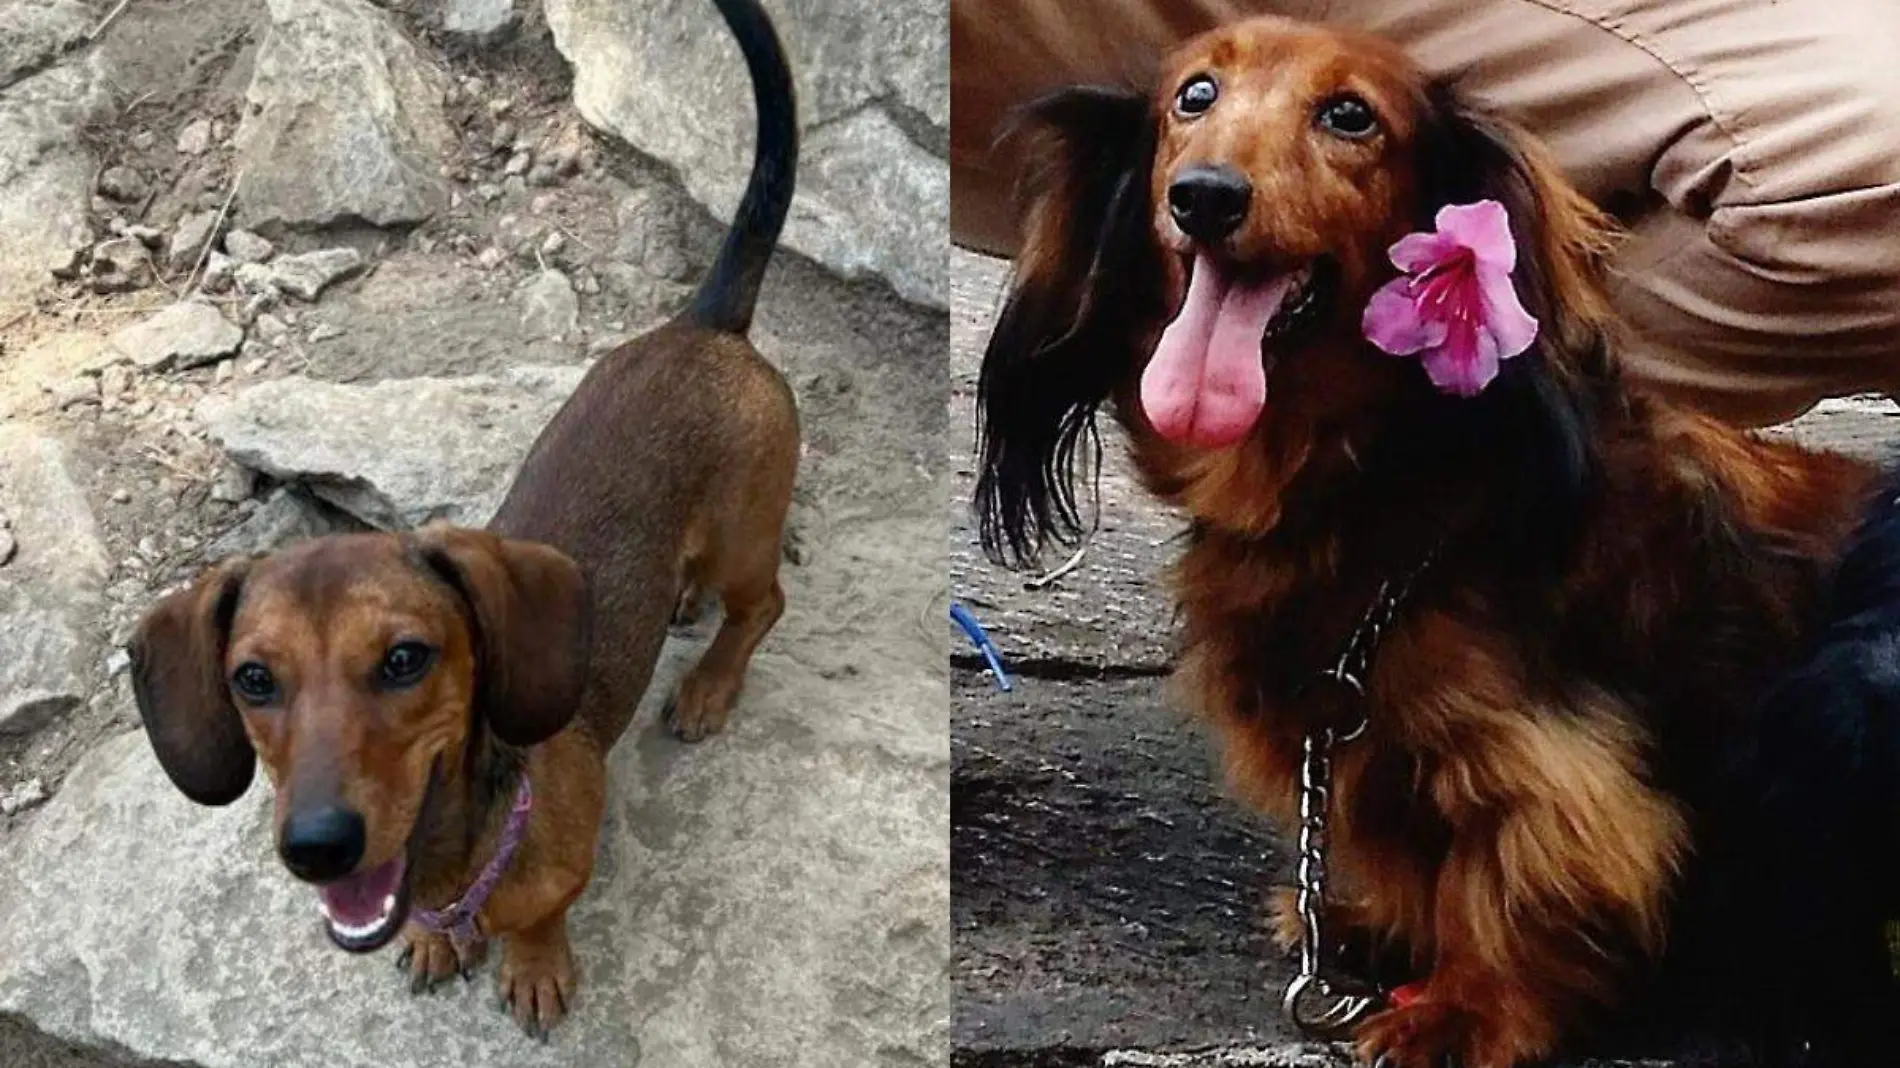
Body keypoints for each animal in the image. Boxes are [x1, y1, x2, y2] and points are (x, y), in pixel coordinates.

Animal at [124, 0, 794, 1033]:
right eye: (252, 680)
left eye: (407, 660)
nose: (316, 846)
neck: (454, 854)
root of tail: (706, 323)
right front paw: (441, 939)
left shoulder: (564, 863)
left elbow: (542, 917)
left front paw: (532, 962)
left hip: (744, 535)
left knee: (762, 607)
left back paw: (710, 683)